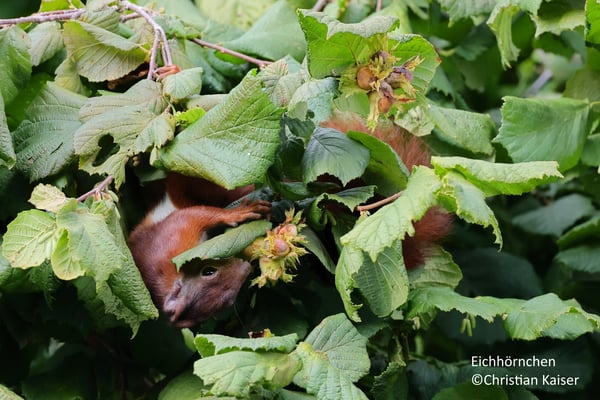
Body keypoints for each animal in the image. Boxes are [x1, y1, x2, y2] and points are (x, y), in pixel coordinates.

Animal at [127, 116, 451, 328]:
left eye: (209, 270)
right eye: (227, 299)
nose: (245, 267)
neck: (167, 272)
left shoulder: (177, 232)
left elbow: (203, 214)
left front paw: (236, 214)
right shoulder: (175, 237)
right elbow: (200, 214)